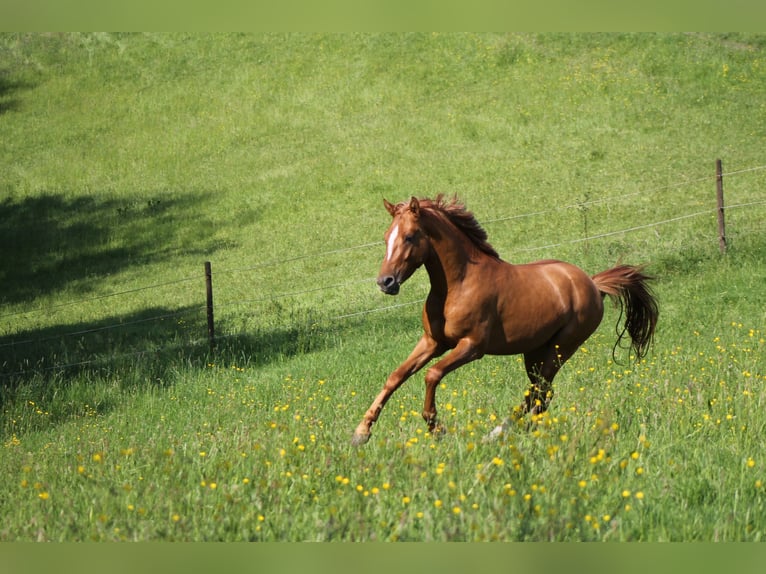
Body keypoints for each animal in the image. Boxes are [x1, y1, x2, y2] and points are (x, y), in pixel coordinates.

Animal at [354, 196, 660, 448]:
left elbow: (433, 374)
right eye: (385, 237)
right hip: (534, 353)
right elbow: (395, 377)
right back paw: (518, 431)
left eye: (409, 237)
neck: (458, 285)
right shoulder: (433, 342)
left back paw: (498, 433)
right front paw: (361, 433)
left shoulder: (471, 347)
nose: (385, 282)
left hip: (561, 349)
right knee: (542, 394)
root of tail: (593, 284)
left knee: (539, 391)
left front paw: (436, 428)